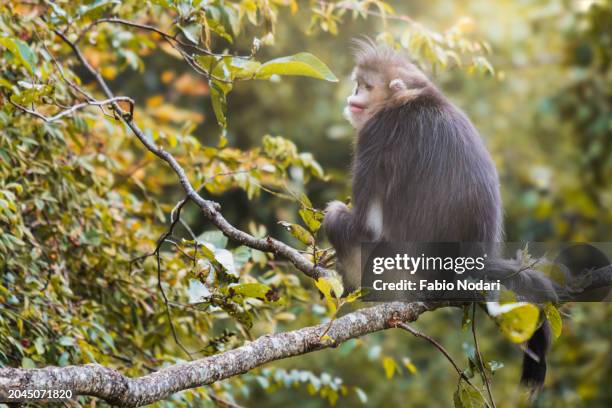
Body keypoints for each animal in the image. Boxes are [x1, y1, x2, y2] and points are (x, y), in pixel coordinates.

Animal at [326, 40, 560, 392]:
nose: (352, 96)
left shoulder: (375, 135)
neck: (409, 99)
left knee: (339, 220)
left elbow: (365, 228)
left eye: (365, 87)